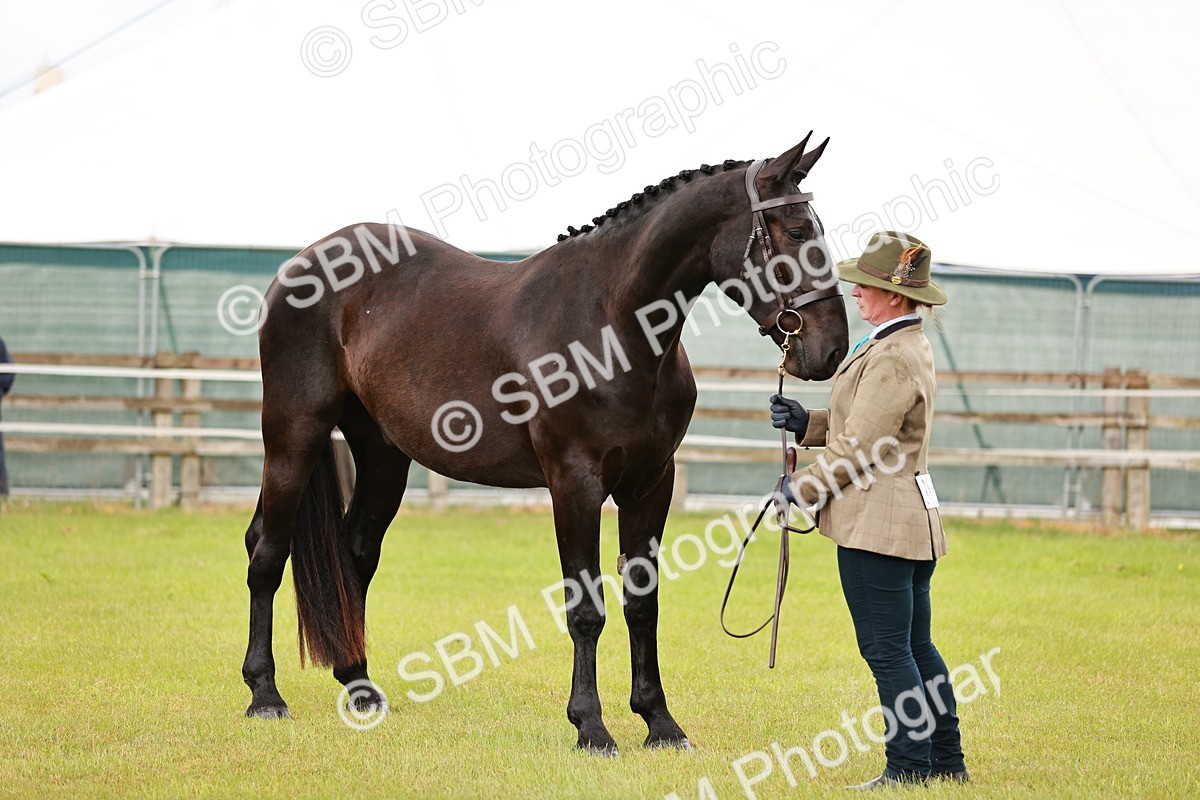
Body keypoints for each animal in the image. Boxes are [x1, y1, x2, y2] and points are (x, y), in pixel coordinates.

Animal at [240, 134, 849, 754]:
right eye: (796, 231)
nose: (830, 350)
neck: (612, 326)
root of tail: (302, 263)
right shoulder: (574, 484)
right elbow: (586, 609)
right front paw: (592, 727)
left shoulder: (650, 485)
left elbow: (642, 604)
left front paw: (659, 722)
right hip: (293, 437)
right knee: (267, 551)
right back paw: (265, 694)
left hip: (384, 456)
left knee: (357, 553)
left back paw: (360, 686)